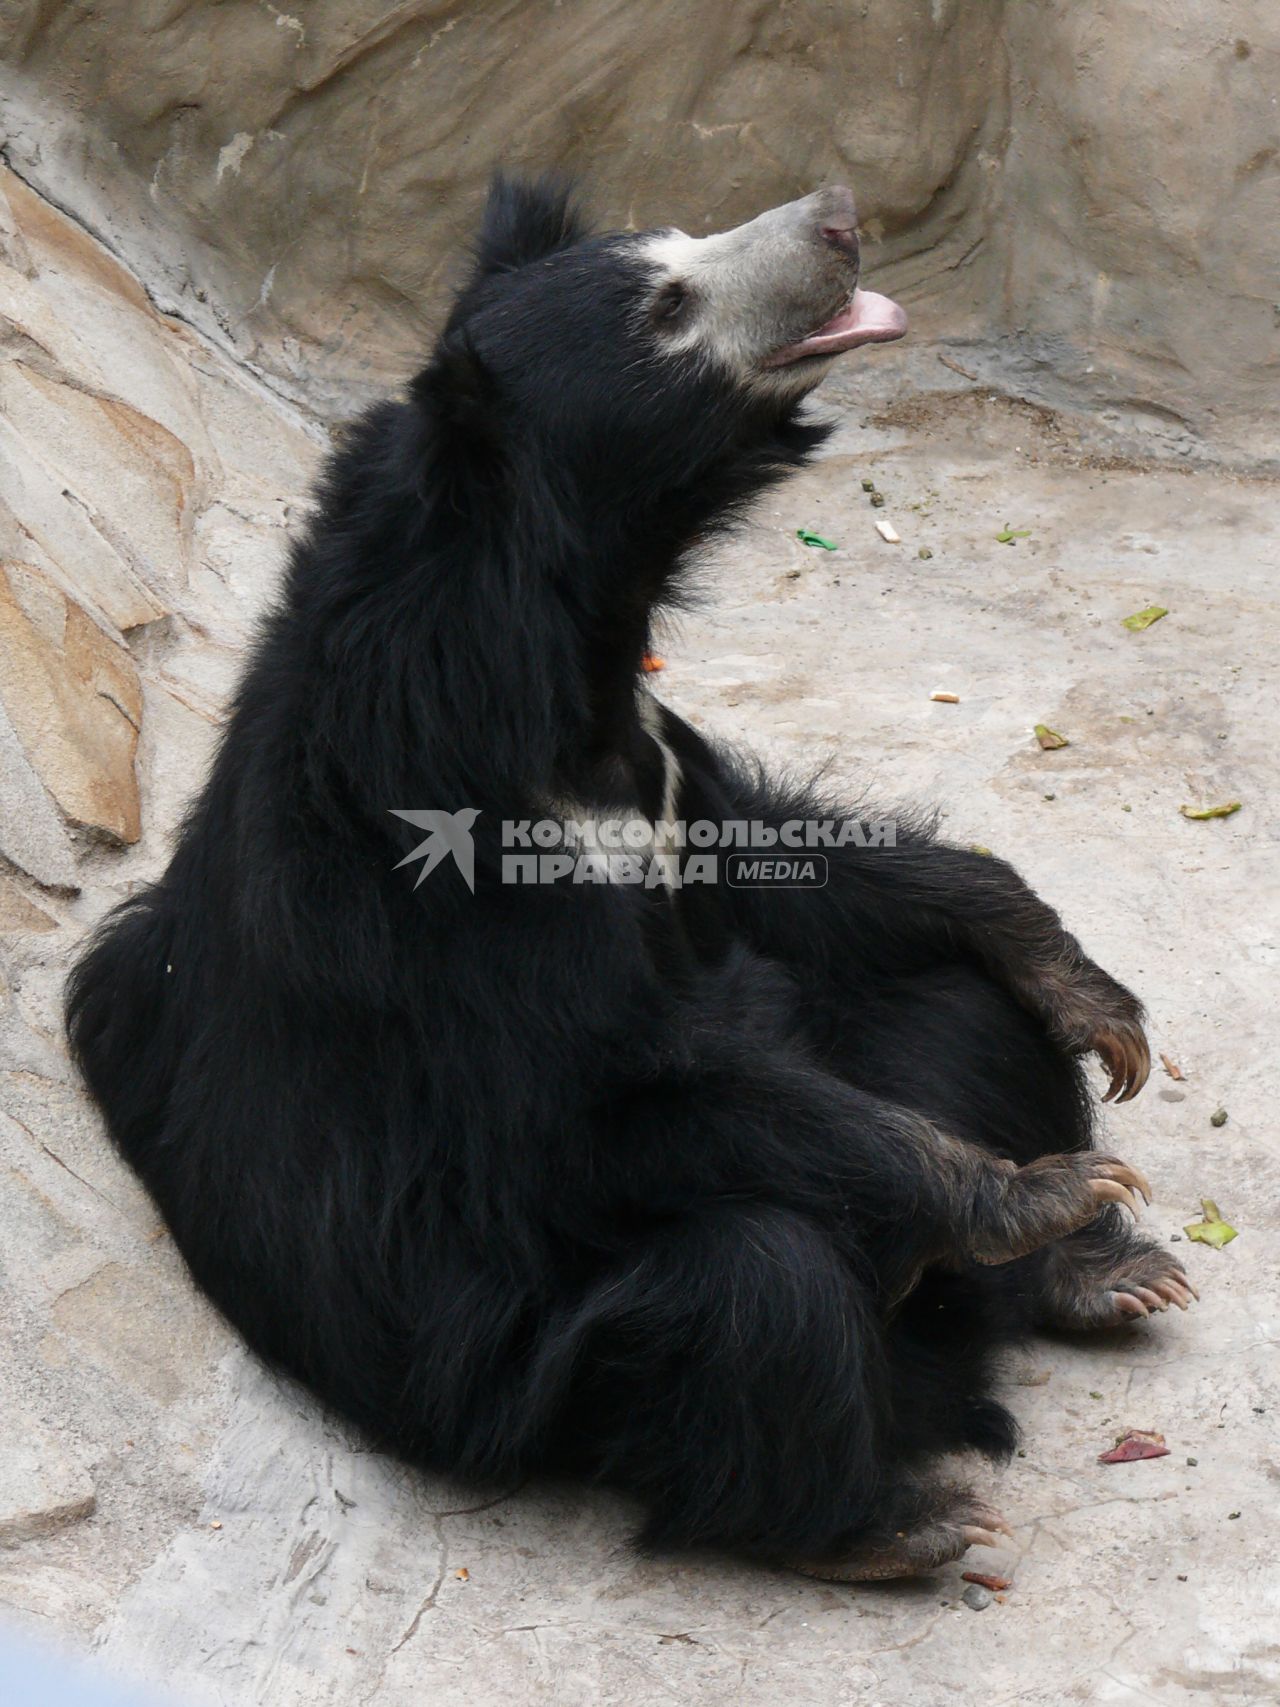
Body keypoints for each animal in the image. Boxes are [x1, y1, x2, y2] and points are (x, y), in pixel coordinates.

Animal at [67, 180, 1194, 1577]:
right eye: (665, 306)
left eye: (679, 246)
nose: (836, 215)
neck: (557, 655)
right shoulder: (447, 882)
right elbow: (604, 1094)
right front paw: (1035, 1188)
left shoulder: (658, 769)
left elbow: (788, 865)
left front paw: (1091, 1002)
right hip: (546, 1378)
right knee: (760, 1283)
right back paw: (893, 1519)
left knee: (957, 1010)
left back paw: (1102, 1273)